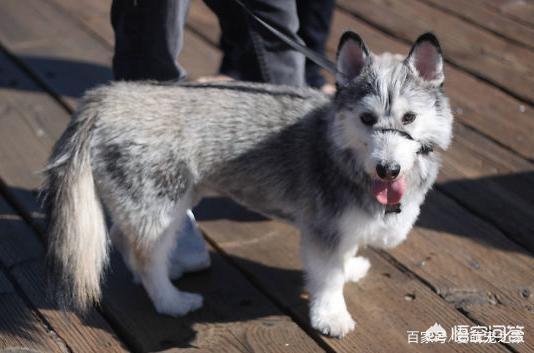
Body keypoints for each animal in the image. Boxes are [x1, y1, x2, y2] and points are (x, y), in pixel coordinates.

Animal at [46, 32, 454, 336]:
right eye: (367, 118)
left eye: (409, 117)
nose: (388, 170)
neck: (345, 154)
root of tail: (107, 96)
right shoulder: (324, 231)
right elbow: (327, 279)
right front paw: (332, 317)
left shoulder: (343, 227)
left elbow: (345, 257)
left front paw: (350, 267)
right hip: (161, 204)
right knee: (146, 257)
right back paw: (171, 301)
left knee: (125, 239)